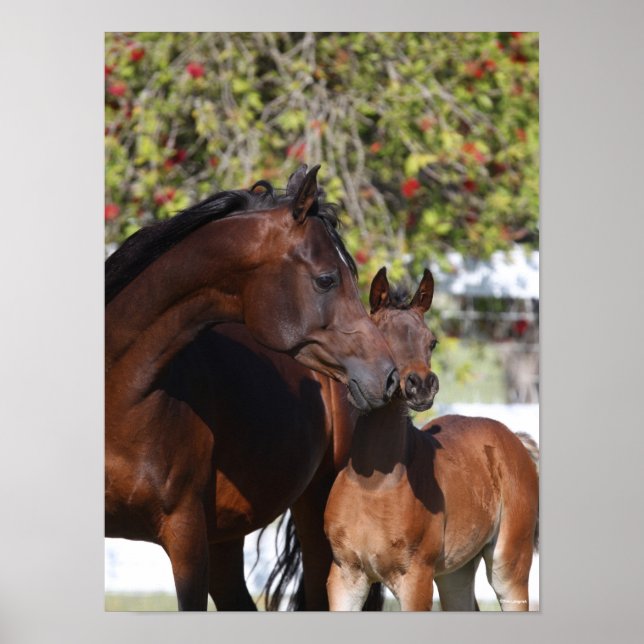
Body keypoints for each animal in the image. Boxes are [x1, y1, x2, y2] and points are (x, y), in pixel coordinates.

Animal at [324, 267, 540, 611]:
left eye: (432, 341)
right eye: (380, 335)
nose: (422, 385)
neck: (374, 484)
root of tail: (512, 438)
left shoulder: (416, 579)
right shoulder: (345, 577)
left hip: (509, 565)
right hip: (455, 572)